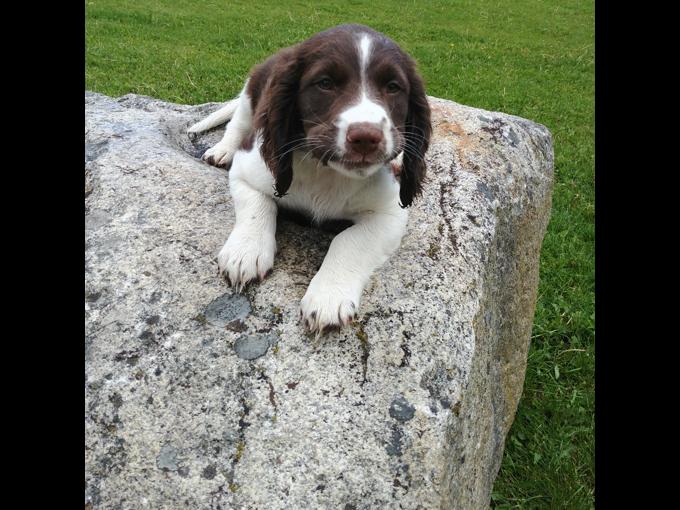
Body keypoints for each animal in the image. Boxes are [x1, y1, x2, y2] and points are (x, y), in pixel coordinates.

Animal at [187, 23, 430, 334]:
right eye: (325, 83)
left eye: (393, 87)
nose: (366, 137)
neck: (327, 173)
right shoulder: (248, 171)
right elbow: (258, 206)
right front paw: (245, 253)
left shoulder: (390, 213)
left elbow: (350, 240)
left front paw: (328, 296)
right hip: (252, 89)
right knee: (239, 122)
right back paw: (222, 149)